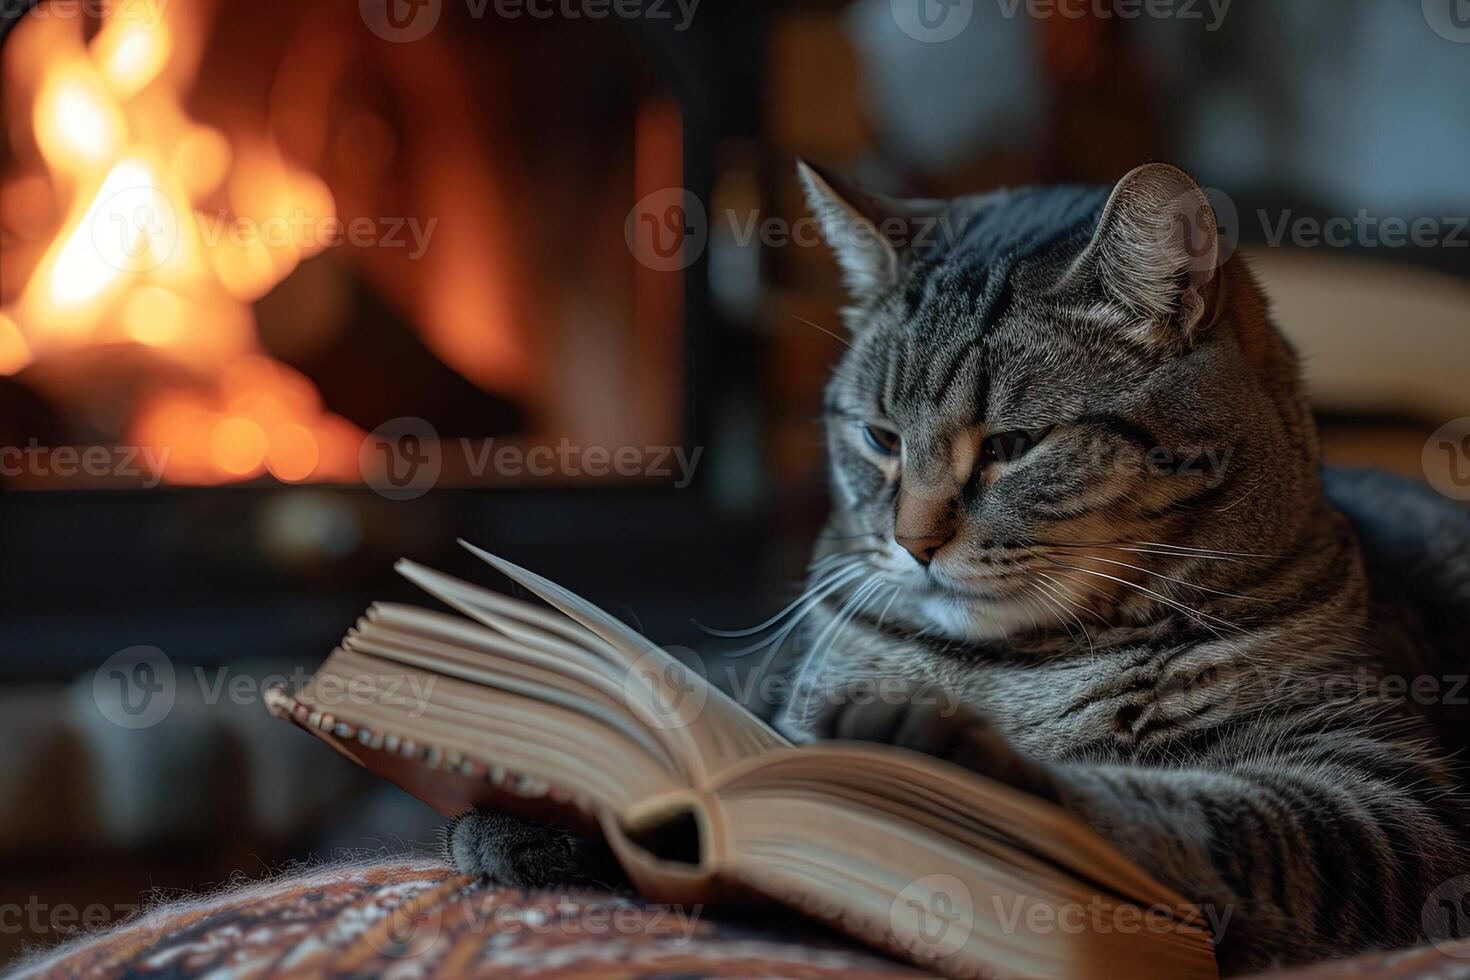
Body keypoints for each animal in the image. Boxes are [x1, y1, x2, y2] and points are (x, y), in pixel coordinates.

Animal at [446, 164, 1470, 975]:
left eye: (1013, 446)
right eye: (880, 438)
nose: (914, 540)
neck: (1005, 664)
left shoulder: (1379, 792)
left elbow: (1168, 808)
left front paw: (931, 760)